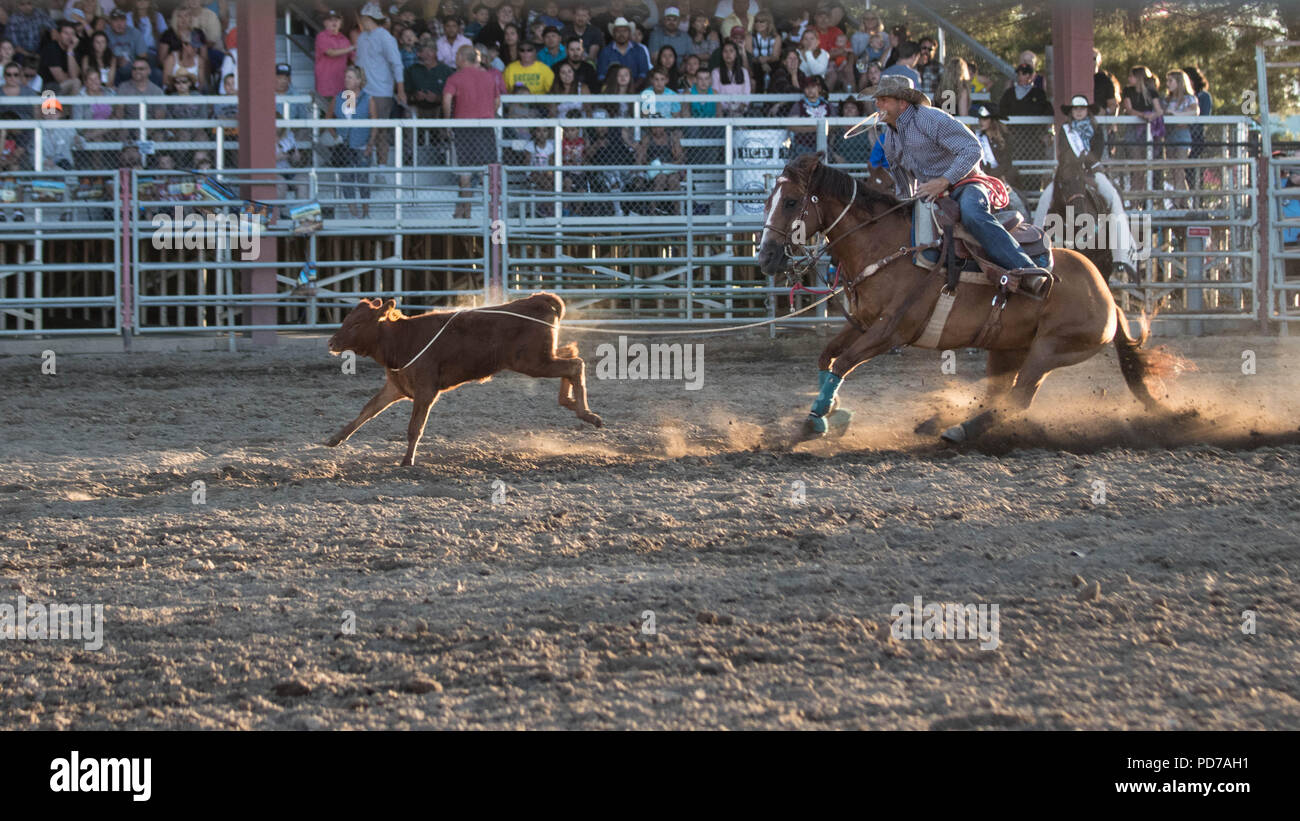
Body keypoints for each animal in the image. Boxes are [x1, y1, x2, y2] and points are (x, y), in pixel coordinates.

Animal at [330, 293, 603, 462]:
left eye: (357, 324)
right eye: (348, 318)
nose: (332, 342)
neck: (401, 339)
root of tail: (540, 299)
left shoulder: (426, 390)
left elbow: (415, 427)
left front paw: (407, 460)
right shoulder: (396, 386)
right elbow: (368, 410)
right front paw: (335, 438)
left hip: (533, 361)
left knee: (574, 365)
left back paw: (587, 414)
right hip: (541, 358)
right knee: (571, 355)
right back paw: (571, 403)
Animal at [754, 155, 1190, 449]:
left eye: (791, 202)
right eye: (769, 199)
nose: (766, 257)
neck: (885, 245)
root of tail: (1106, 296)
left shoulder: (890, 331)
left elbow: (842, 363)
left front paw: (817, 420)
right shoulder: (860, 323)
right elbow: (827, 357)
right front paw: (832, 413)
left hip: (1053, 349)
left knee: (1019, 397)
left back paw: (959, 429)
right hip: (1008, 349)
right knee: (1001, 393)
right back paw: (937, 422)